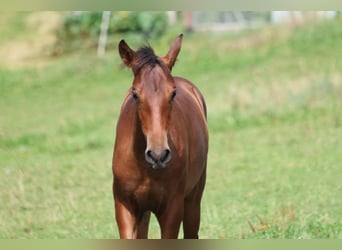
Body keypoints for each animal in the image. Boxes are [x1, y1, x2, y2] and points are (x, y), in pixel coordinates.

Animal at [112, 33, 208, 238]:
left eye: (173, 93)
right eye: (135, 94)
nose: (158, 155)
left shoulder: (172, 209)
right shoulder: (125, 207)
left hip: (193, 199)